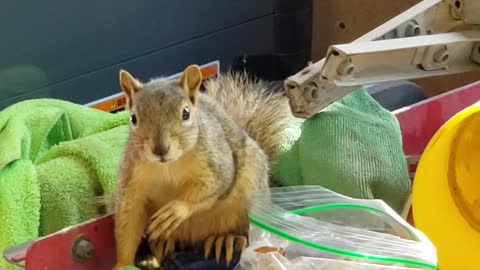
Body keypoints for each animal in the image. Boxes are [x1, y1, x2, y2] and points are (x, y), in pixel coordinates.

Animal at [112, 64, 294, 268]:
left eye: (186, 113)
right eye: (133, 118)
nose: (160, 149)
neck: (168, 166)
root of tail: (196, 235)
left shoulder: (216, 163)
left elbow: (213, 187)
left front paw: (176, 209)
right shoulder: (131, 181)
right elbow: (128, 220)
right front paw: (123, 264)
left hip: (251, 196)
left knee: (247, 234)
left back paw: (227, 239)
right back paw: (162, 243)